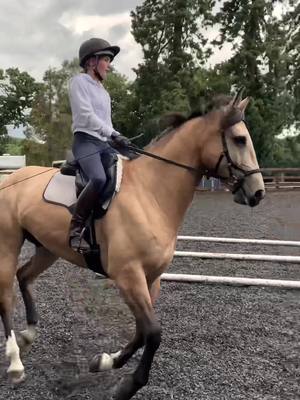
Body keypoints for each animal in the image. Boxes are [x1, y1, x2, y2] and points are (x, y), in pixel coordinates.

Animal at [0, 92, 264, 398]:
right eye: (239, 140)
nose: (258, 193)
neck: (151, 194)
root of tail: (10, 179)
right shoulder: (128, 276)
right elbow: (153, 333)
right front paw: (128, 385)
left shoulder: (151, 278)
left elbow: (141, 331)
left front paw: (105, 361)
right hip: (8, 244)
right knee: (6, 296)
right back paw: (15, 363)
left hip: (48, 248)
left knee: (24, 276)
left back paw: (29, 334)